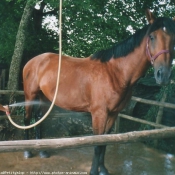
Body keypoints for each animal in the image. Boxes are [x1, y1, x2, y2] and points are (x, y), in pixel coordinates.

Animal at [22, 9, 174, 175]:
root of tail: (33, 61)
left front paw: (103, 170)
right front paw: (94, 171)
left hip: (44, 98)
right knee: (27, 119)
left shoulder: (113, 114)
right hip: (30, 95)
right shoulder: (99, 114)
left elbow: (104, 144)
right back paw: (27, 151)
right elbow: (96, 144)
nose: (164, 75)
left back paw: (42, 151)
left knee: (38, 118)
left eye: (173, 38)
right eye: (152, 37)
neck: (115, 72)